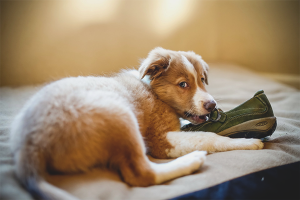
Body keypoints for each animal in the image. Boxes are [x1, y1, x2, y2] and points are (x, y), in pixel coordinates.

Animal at [9, 47, 262, 199]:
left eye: (202, 80)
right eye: (183, 84)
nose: (211, 105)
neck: (154, 92)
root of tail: (29, 146)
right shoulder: (160, 140)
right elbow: (208, 136)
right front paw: (248, 142)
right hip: (120, 114)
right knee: (142, 174)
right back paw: (192, 160)